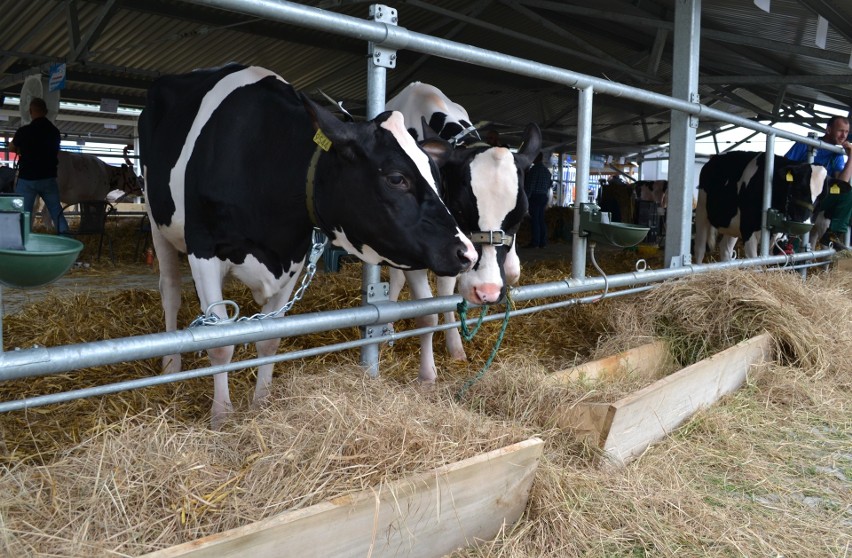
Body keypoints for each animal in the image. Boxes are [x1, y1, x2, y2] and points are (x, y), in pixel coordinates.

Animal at [143, 66, 482, 434]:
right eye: (396, 178)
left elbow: (270, 338)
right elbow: (219, 343)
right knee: (170, 291)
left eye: (437, 178)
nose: (467, 253)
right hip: (156, 219)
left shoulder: (294, 256)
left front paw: (261, 403)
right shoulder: (203, 247)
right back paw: (171, 363)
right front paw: (221, 417)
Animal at [384, 80, 540, 384]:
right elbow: (426, 315)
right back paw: (387, 333)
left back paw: (455, 345)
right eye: (458, 208)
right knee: (396, 281)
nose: (488, 292)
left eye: (521, 217)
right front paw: (427, 374)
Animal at [692, 151, 824, 264]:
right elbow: (755, 261)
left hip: (733, 223)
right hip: (702, 210)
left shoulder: (774, 235)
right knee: (699, 248)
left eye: (821, 198)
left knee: (725, 248)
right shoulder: (748, 228)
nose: (805, 224)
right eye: (799, 188)